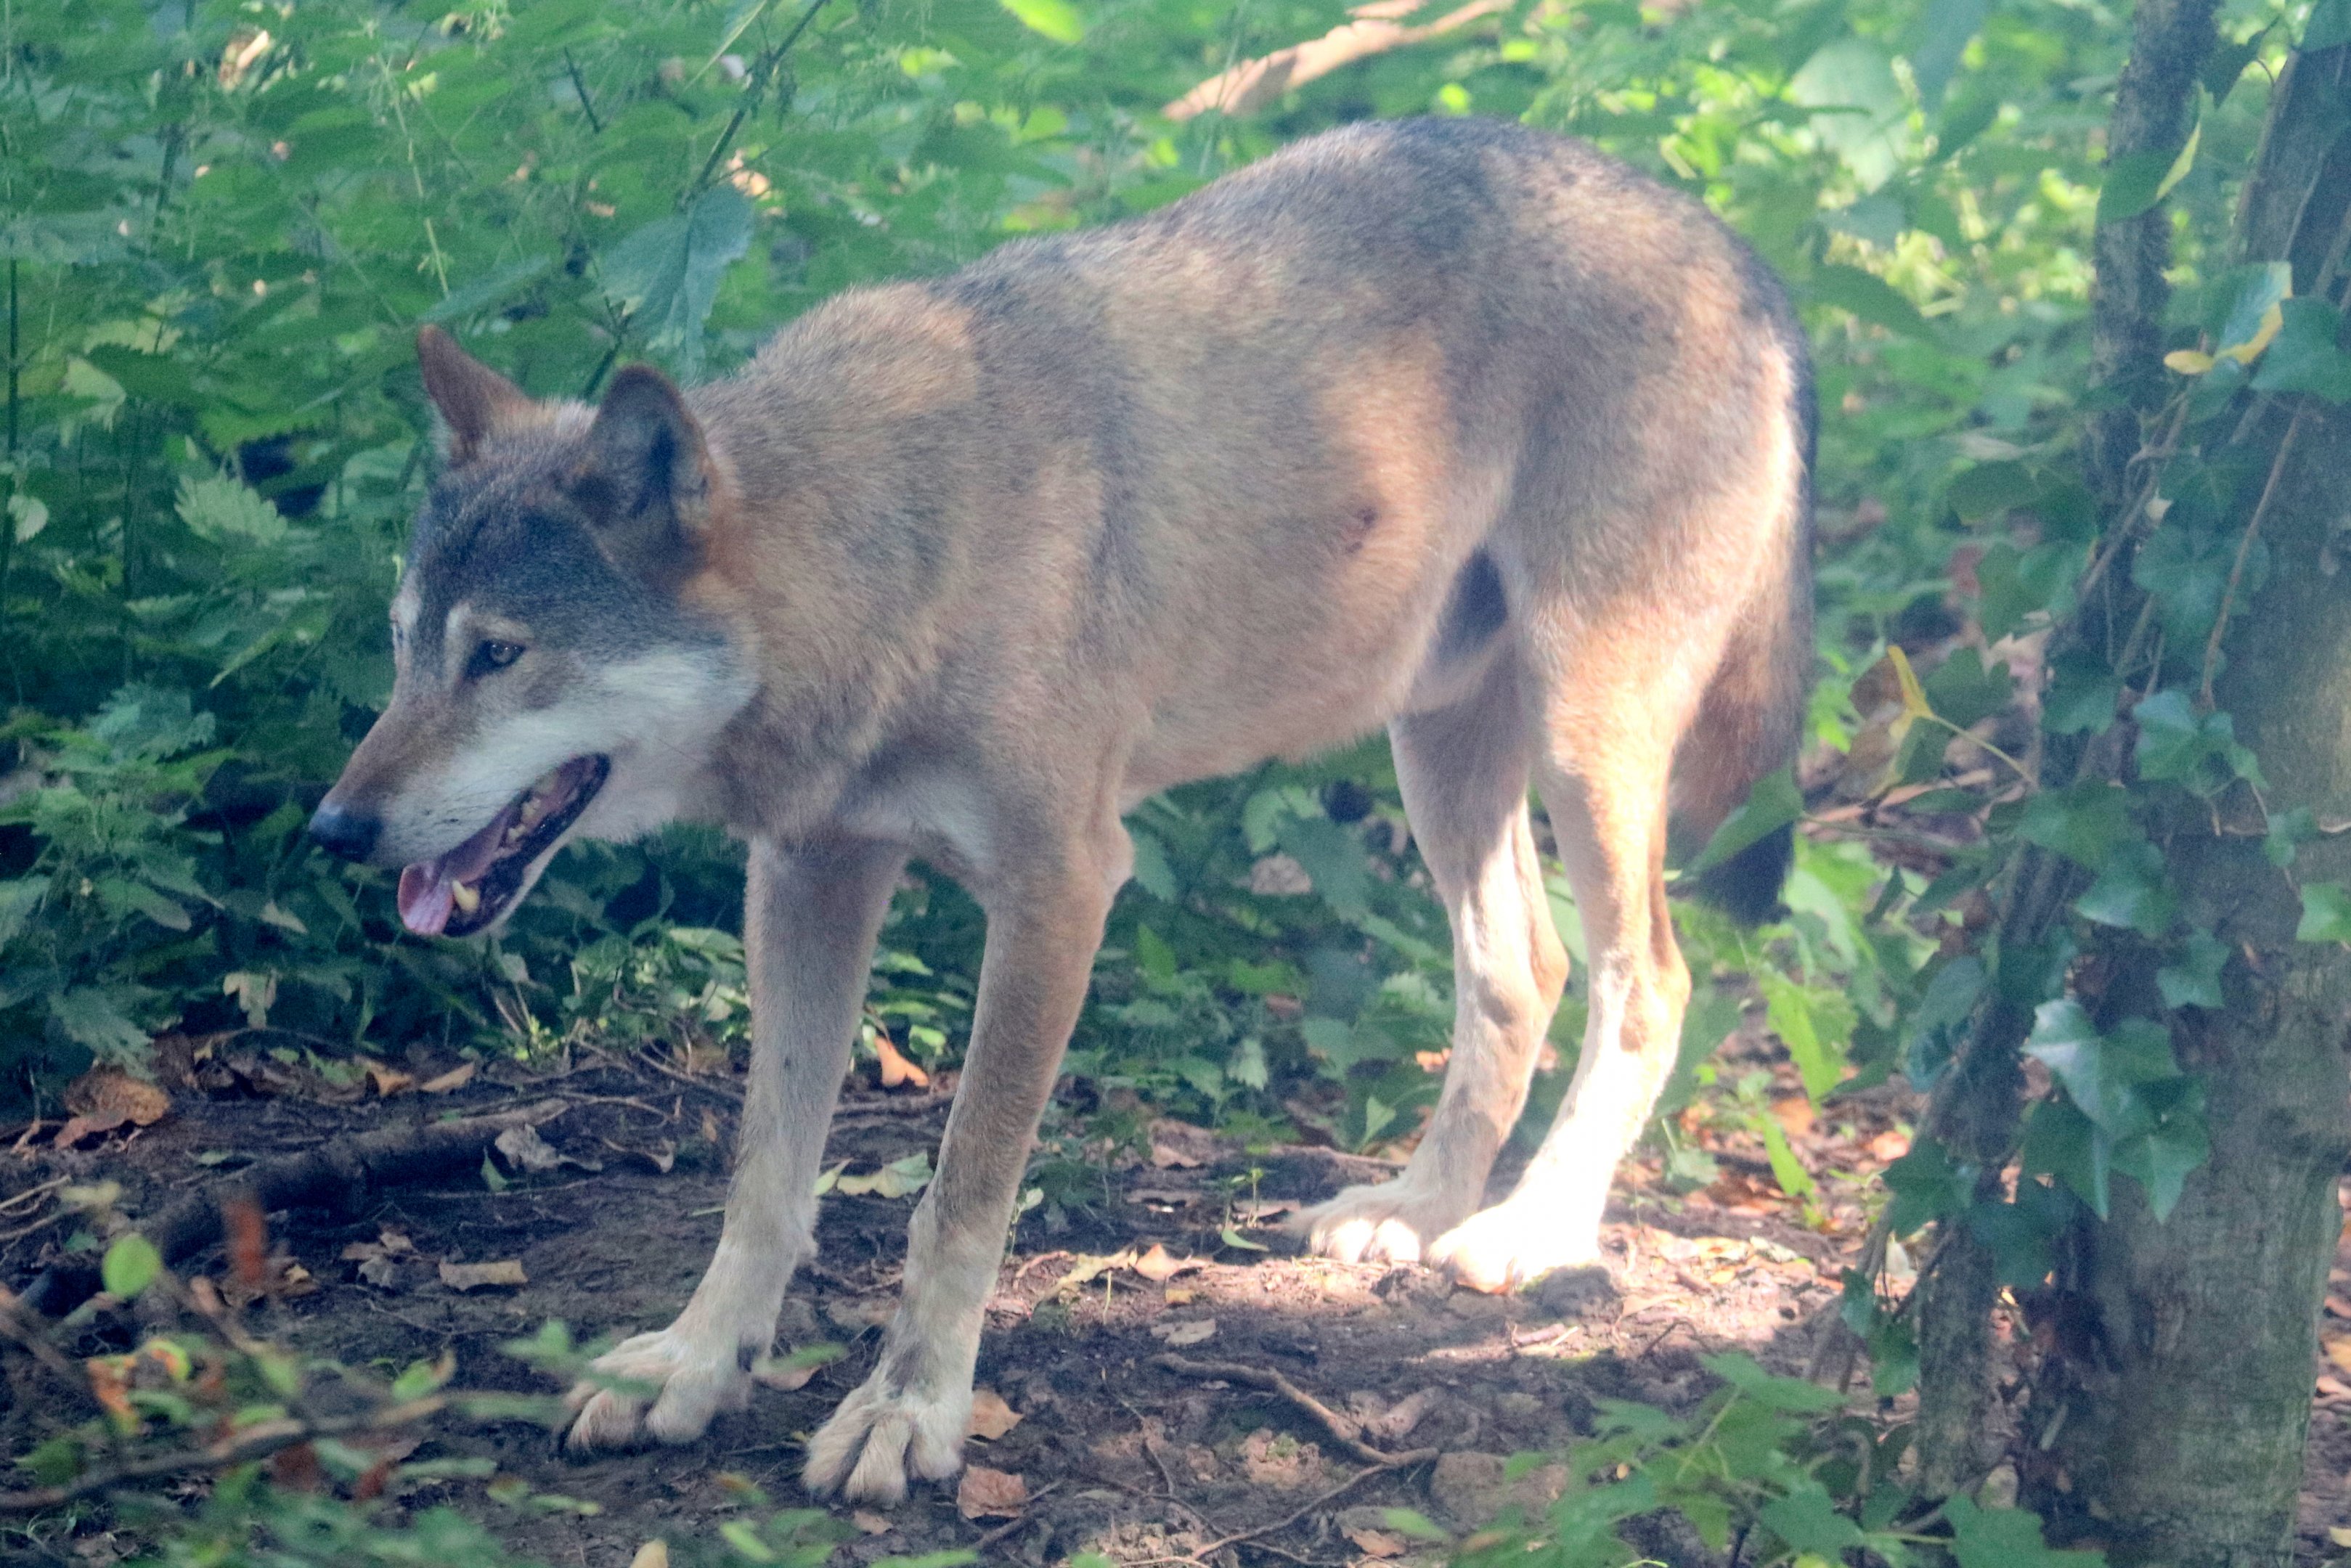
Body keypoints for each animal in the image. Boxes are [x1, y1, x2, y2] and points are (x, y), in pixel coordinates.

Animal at [308, 116, 1813, 1503]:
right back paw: (1409, 1212)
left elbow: (958, 1194)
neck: (897, 553)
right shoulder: (805, 875)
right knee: (1521, 969)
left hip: (1582, 741)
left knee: (1648, 980)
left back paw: (1530, 1231)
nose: (332, 832)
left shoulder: (1062, 890)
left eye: (499, 657)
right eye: (403, 648)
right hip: (1437, 749)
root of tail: (1726, 243)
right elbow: (764, 1174)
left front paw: (908, 1413)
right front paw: (694, 1364)